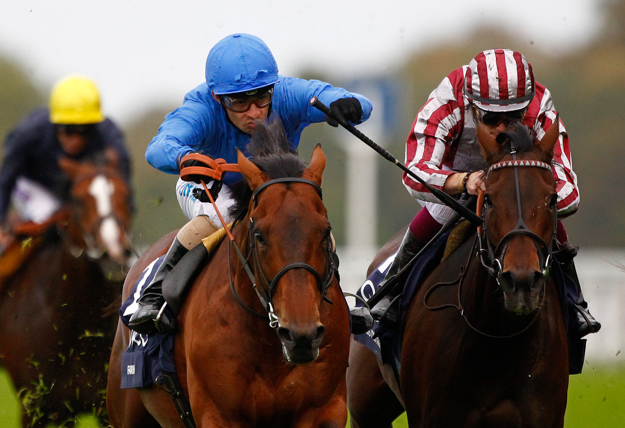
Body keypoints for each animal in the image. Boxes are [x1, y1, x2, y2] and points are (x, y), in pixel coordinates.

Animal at [107, 122, 352, 426]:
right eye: (259, 235)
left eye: (325, 231)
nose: (301, 335)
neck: (272, 351)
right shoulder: (219, 413)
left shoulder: (325, 408)